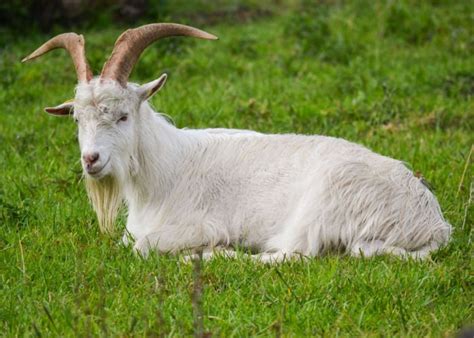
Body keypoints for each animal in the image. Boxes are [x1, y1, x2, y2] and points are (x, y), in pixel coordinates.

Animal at [23, 23, 452, 262]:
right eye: (78, 119)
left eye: (123, 115)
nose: (91, 160)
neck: (168, 169)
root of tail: (432, 225)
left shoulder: (196, 224)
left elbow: (140, 247)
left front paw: (212, 248)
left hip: (324, 204)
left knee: (293, 256)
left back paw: (218, 255)